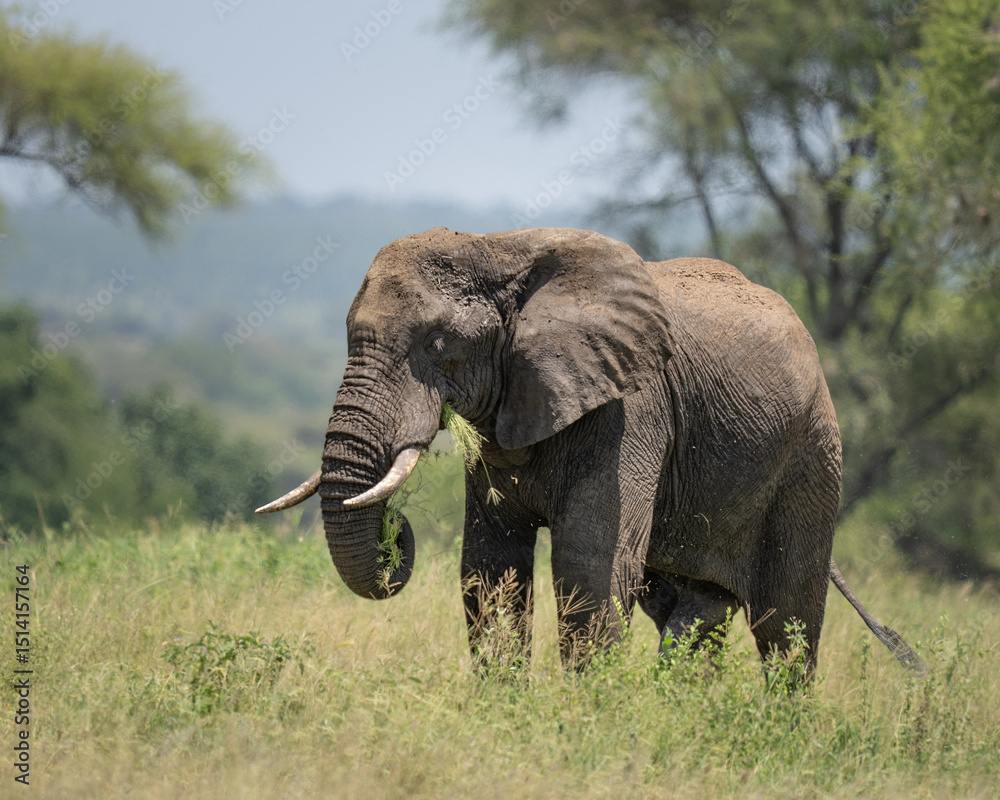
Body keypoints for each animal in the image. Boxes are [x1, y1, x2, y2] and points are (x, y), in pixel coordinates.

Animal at [257, 226, 922, 676]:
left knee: (787, 622)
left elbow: (589, 565)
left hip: (812, 455)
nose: (396, 528)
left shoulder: (632, 405)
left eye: (437, 343)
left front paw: (583, 726)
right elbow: (490, 567)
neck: (499, 248)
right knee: (693, 616)